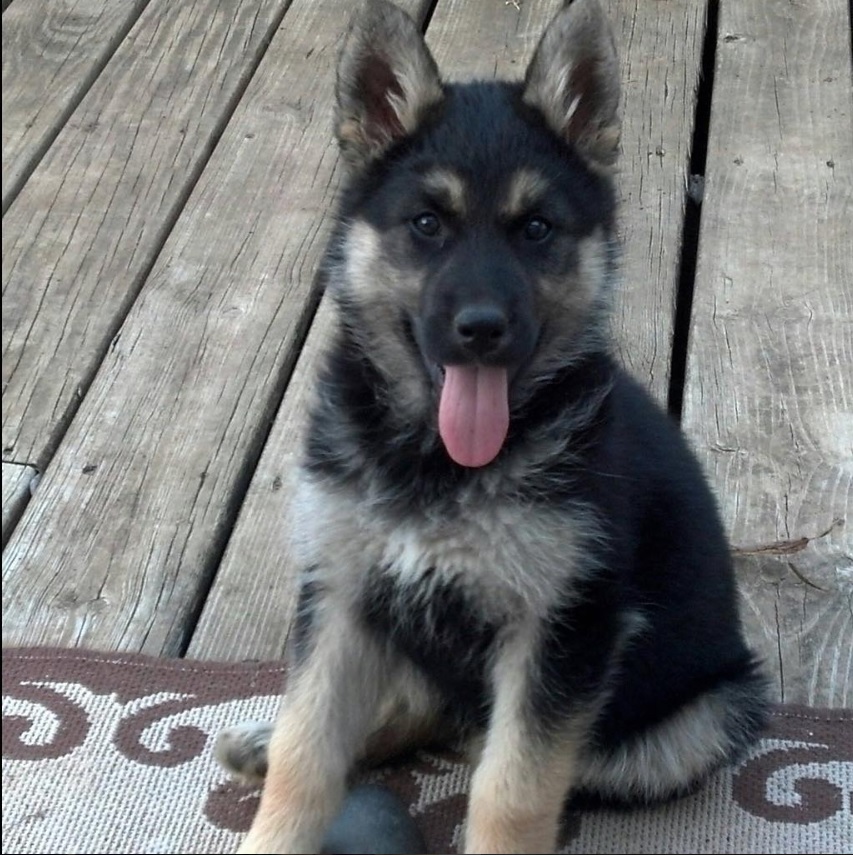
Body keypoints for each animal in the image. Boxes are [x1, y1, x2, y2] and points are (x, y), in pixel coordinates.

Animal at [216, 0, 768, 852]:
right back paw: (262, 740)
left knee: (502, 742)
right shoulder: (340, 593)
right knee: (417, 708)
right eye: (425, 223)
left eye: (535, 228)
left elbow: (510, 789)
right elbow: (308, 751)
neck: (437, 465)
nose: (480, 329)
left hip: (701, 717)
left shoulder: (560, 630)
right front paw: (276, 809)